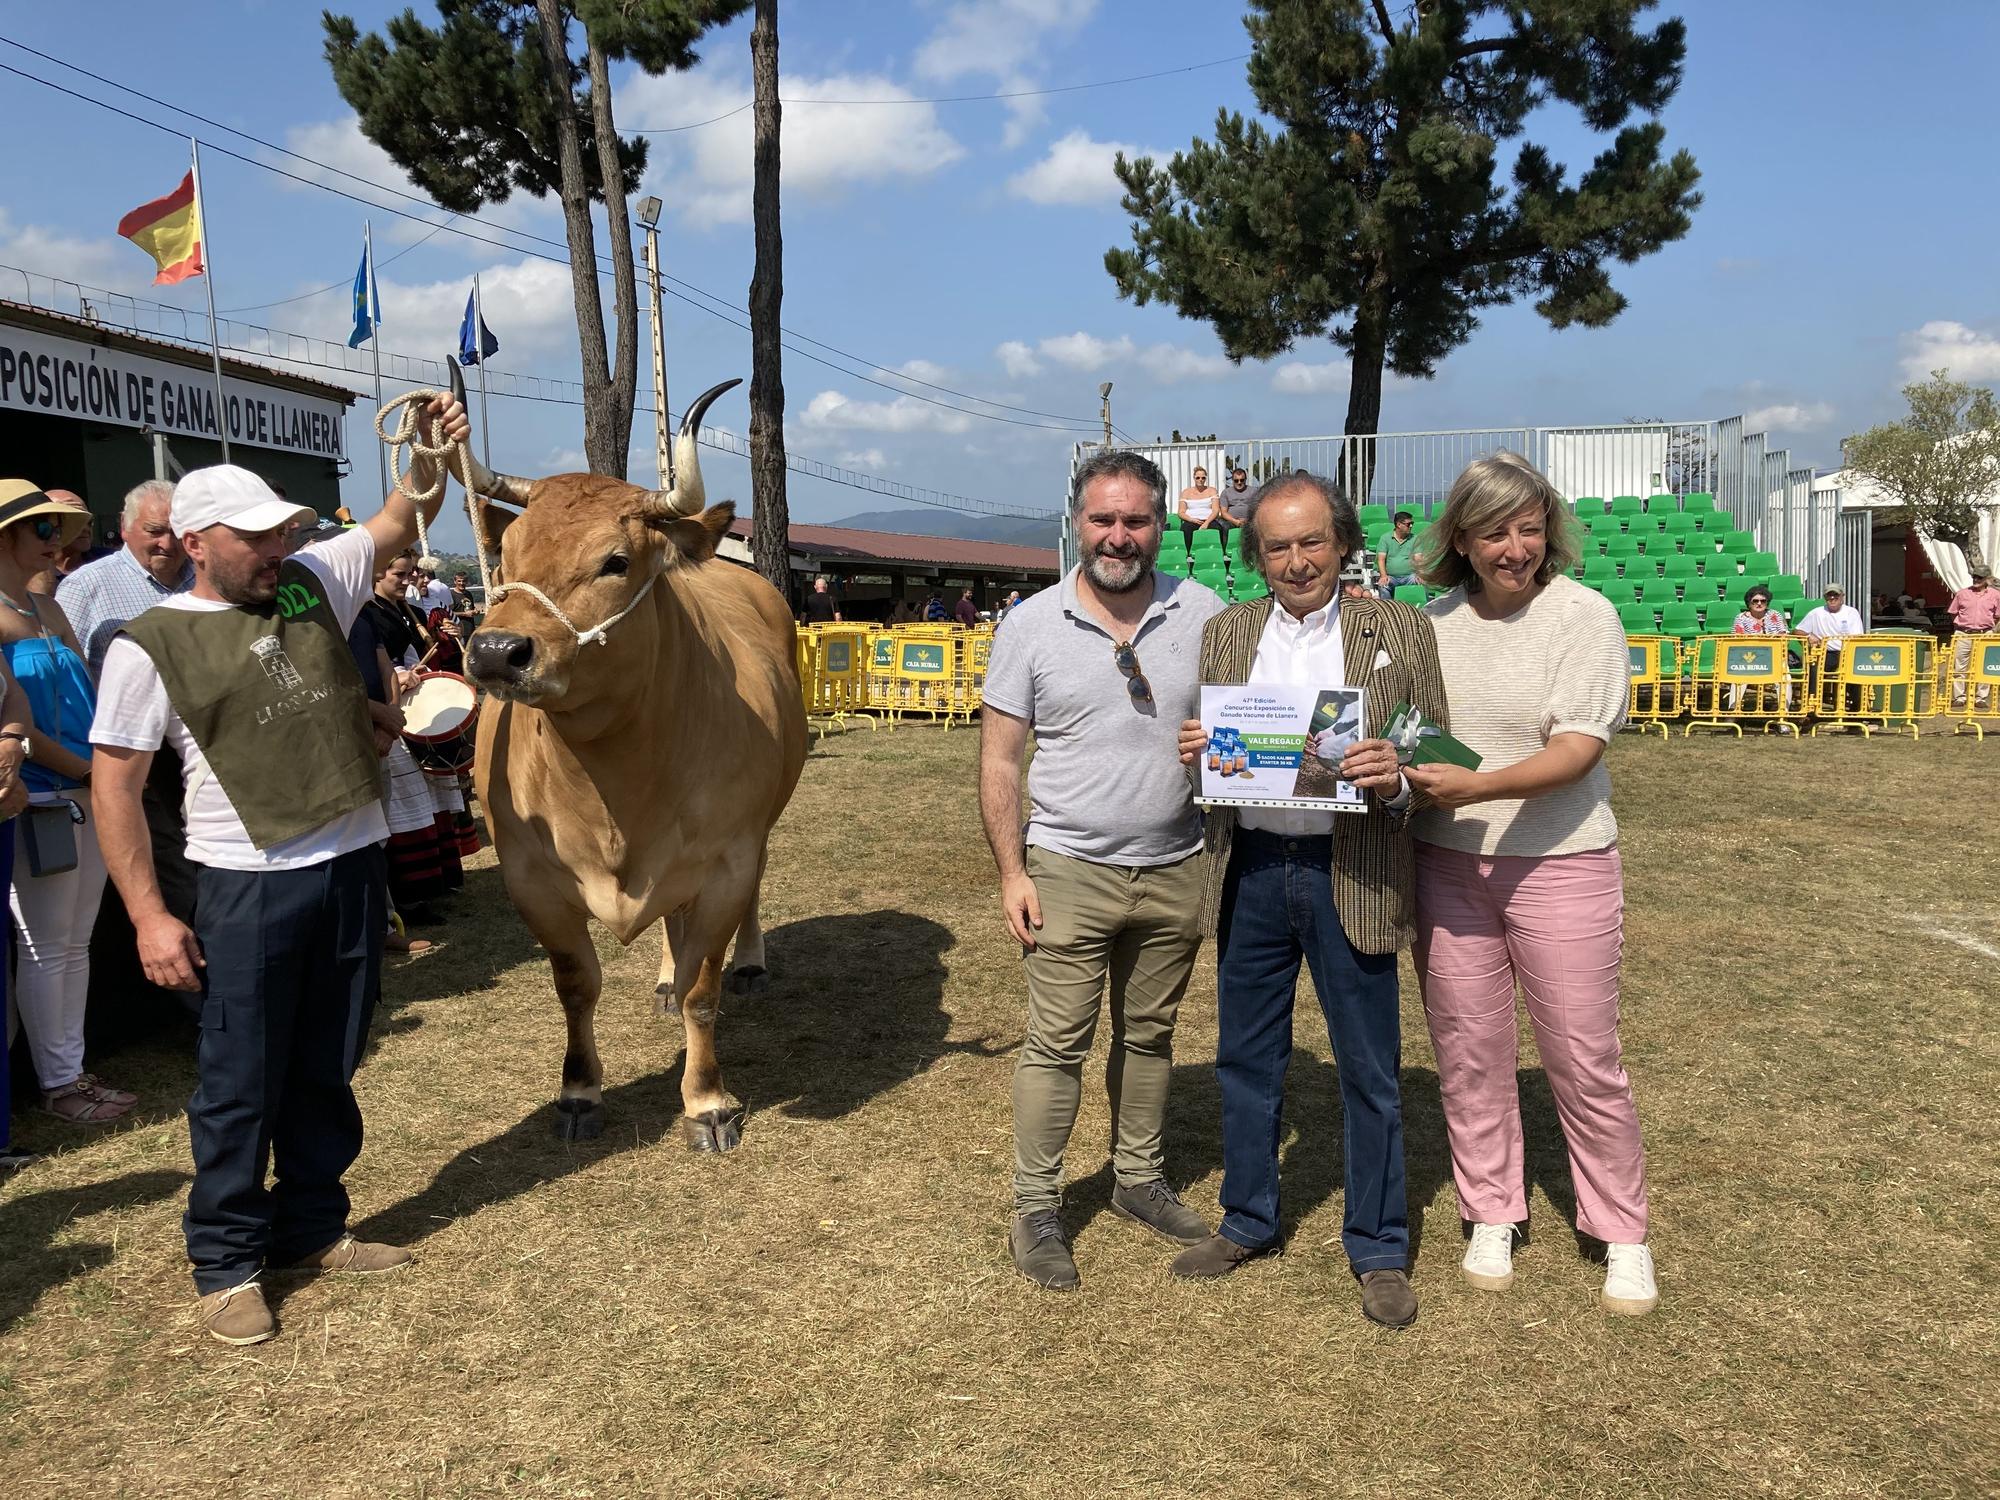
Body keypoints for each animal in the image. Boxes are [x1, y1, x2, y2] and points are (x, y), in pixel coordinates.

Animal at [458, 374, 808, 1152]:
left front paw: (707, 1102)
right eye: (506, 558)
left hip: (761, 831)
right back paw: (662, 980)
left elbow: (706, 990)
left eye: (615, 561)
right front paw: (579, 1092)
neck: (614, 787)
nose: (495, 652)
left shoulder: (726, 861)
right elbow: (576, 984)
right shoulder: (530, 878)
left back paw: (749, 962)